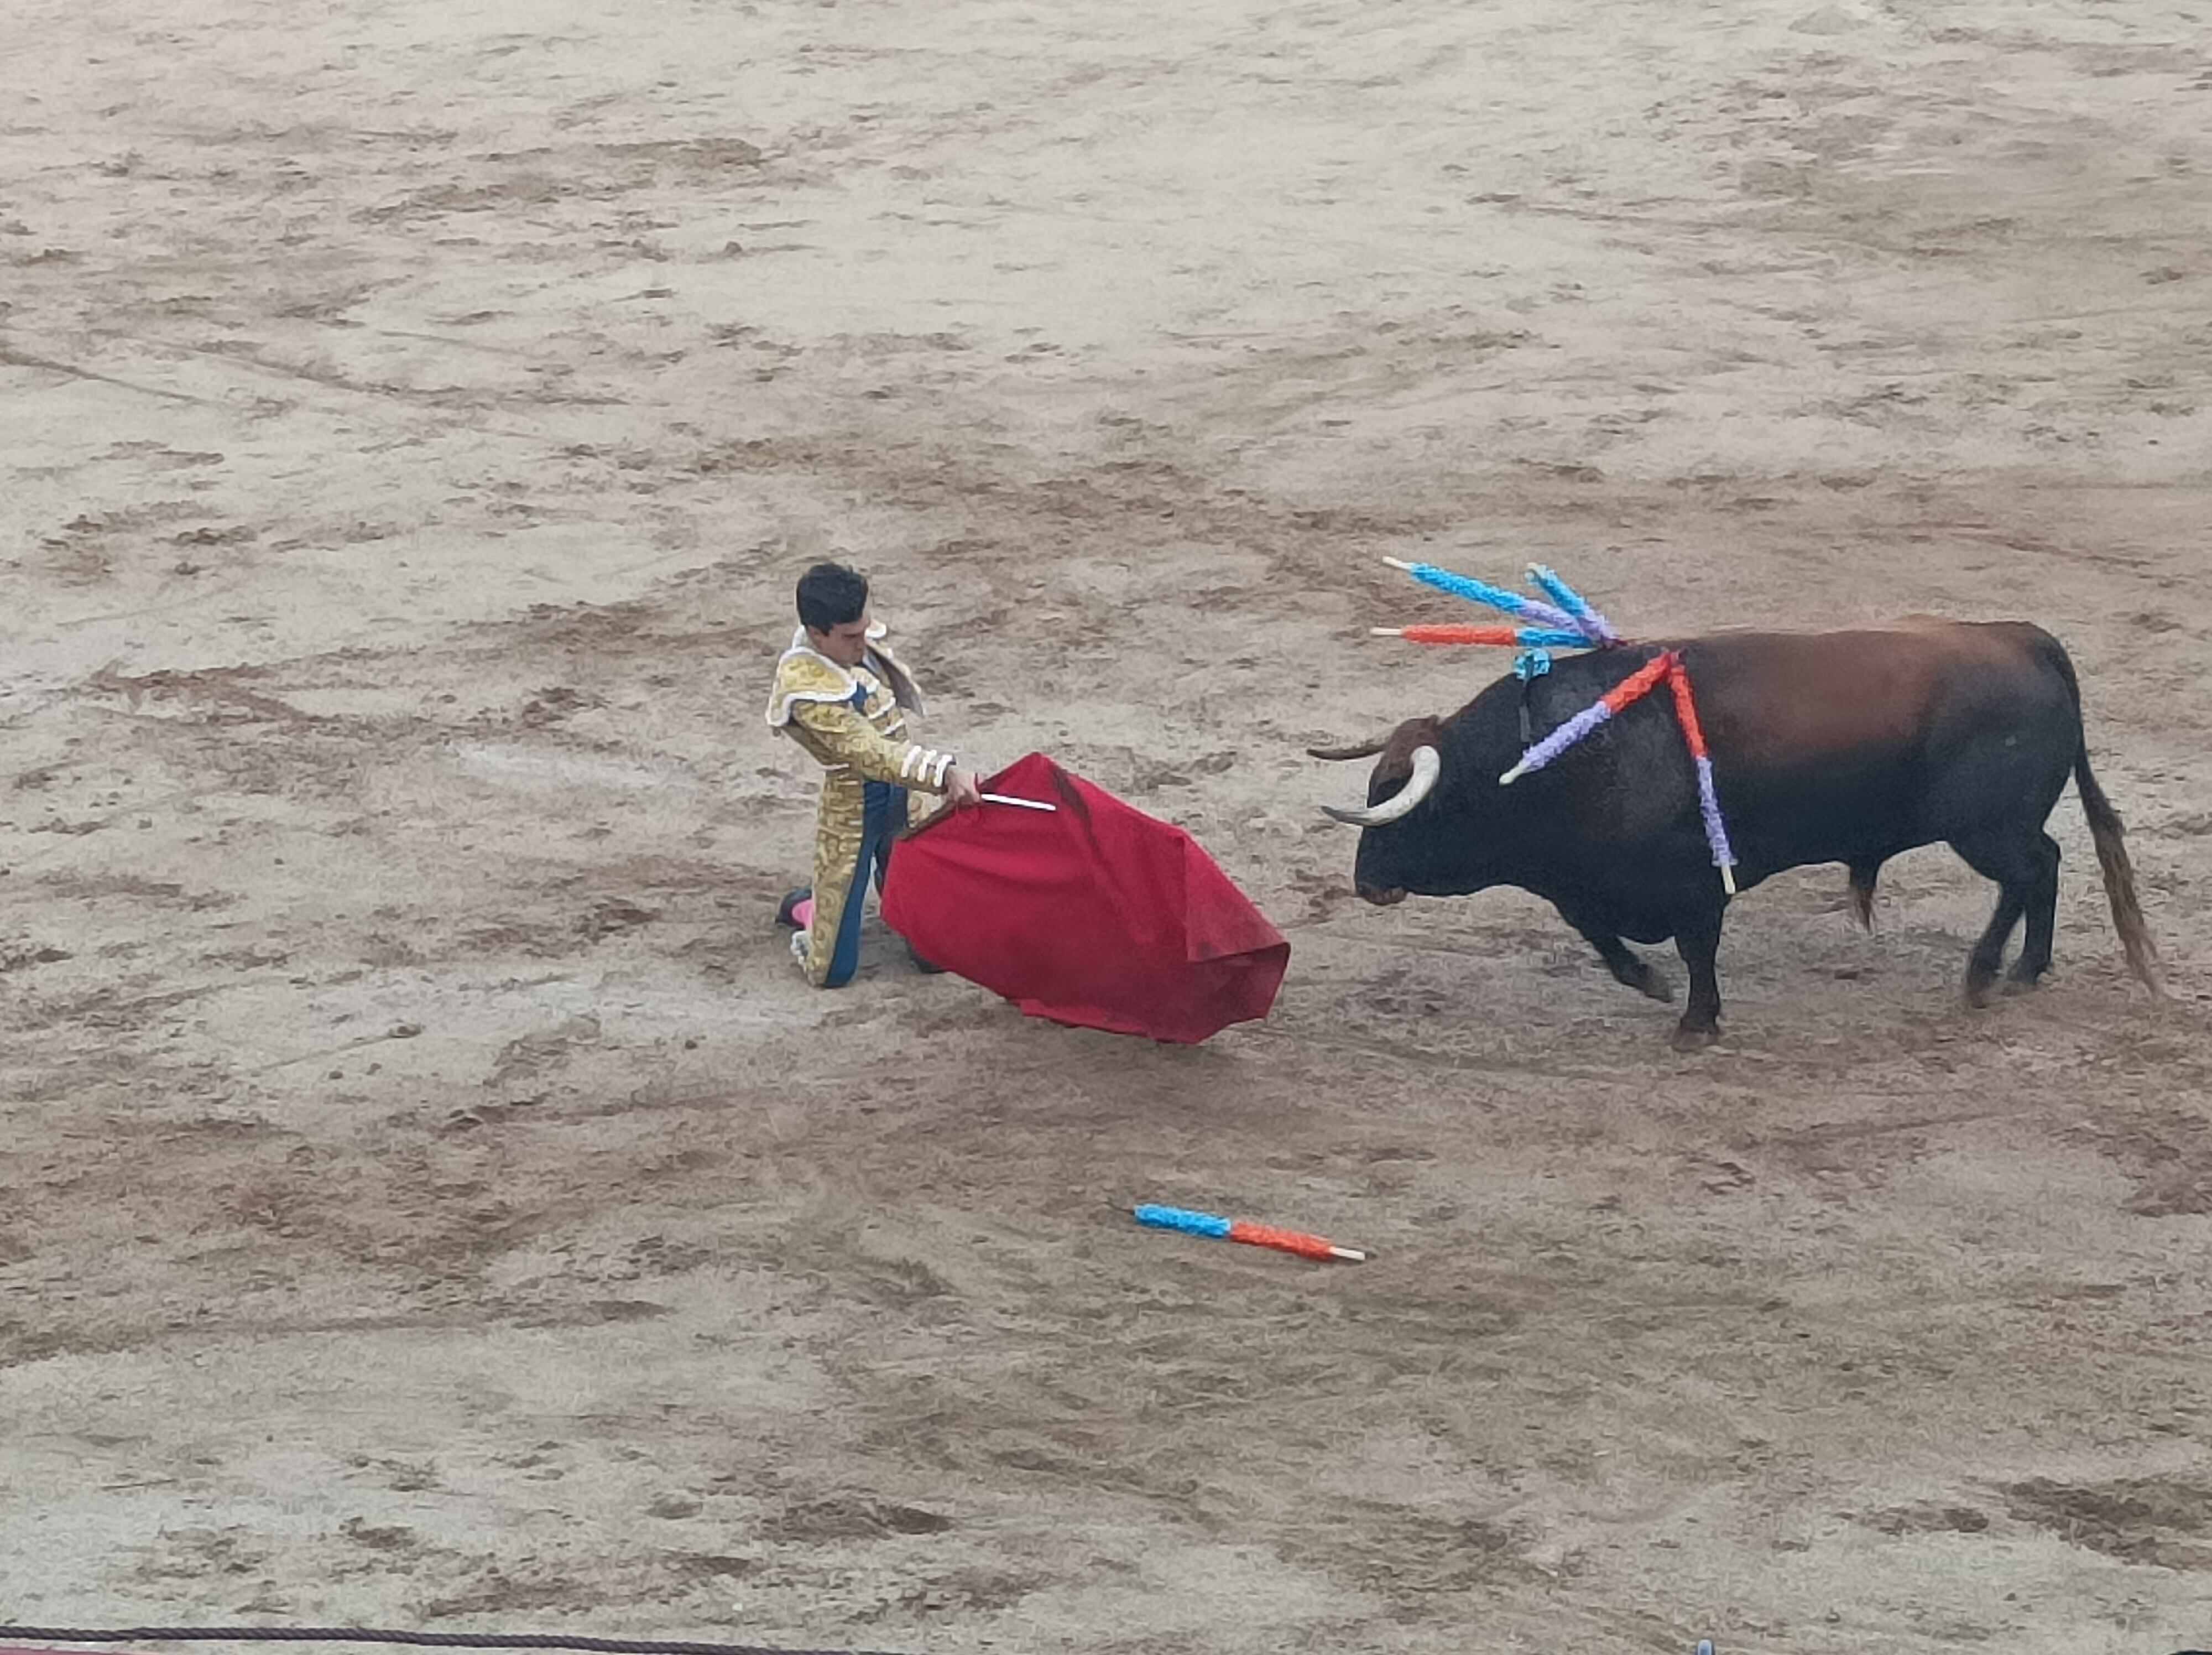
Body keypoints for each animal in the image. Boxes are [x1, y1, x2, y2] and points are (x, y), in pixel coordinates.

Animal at [1310, 620, 2159, 1049]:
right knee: (2044, 871)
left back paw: (1987, 976)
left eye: (1412, 805)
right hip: (1997, 827)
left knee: (2031, 872)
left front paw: (1695, 1022)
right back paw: (2023, 972)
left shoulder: (1690, 886)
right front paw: (1652, 986)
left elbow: (1696, 950)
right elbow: (1606, 942)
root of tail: (2021, 636)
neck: (1550, 758)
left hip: (1986, 827)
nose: (1365, 883)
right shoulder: (1584, 888)